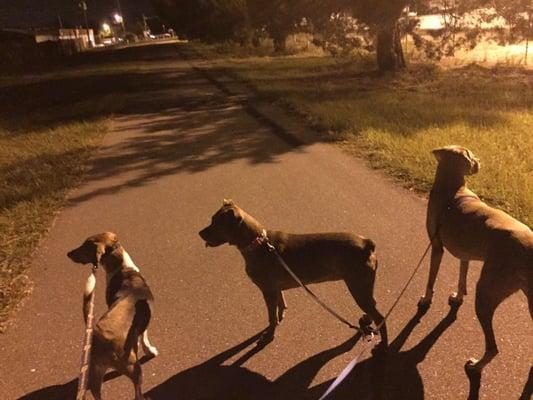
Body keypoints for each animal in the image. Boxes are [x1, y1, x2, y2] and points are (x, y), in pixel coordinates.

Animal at [67, 233, 157, 400]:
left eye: (86, 245)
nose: (68, 254)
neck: (123, 269)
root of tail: (98, 335)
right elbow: (144, 337)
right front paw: (150, 350)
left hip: (95, 374)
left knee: (96, 392)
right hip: (134, 367)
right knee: (137, 392)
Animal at [198, 200, 386, 346]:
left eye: (216, 223)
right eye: (212, 220)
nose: (199, 233)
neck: (257, 243)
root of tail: (366, 244)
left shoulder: (268, 291)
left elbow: (271, 317)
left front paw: (269, 335)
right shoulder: (275, 289)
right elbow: (281, 304)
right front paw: (281, 316)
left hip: (358, 288)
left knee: (380, 317)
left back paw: (382, 345)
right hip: (363, 289)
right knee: (372, 312)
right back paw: (365, 325)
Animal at [418, 145, 528, 376]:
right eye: (470, 155)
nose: (480, 162)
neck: (453, 188)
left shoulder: (437, 248)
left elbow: (431, 280)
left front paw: (426, 299)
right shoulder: (464, 255)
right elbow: (462, 279)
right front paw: (457, 297)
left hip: (486, 293)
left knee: (493, 347)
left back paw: (476, 366)